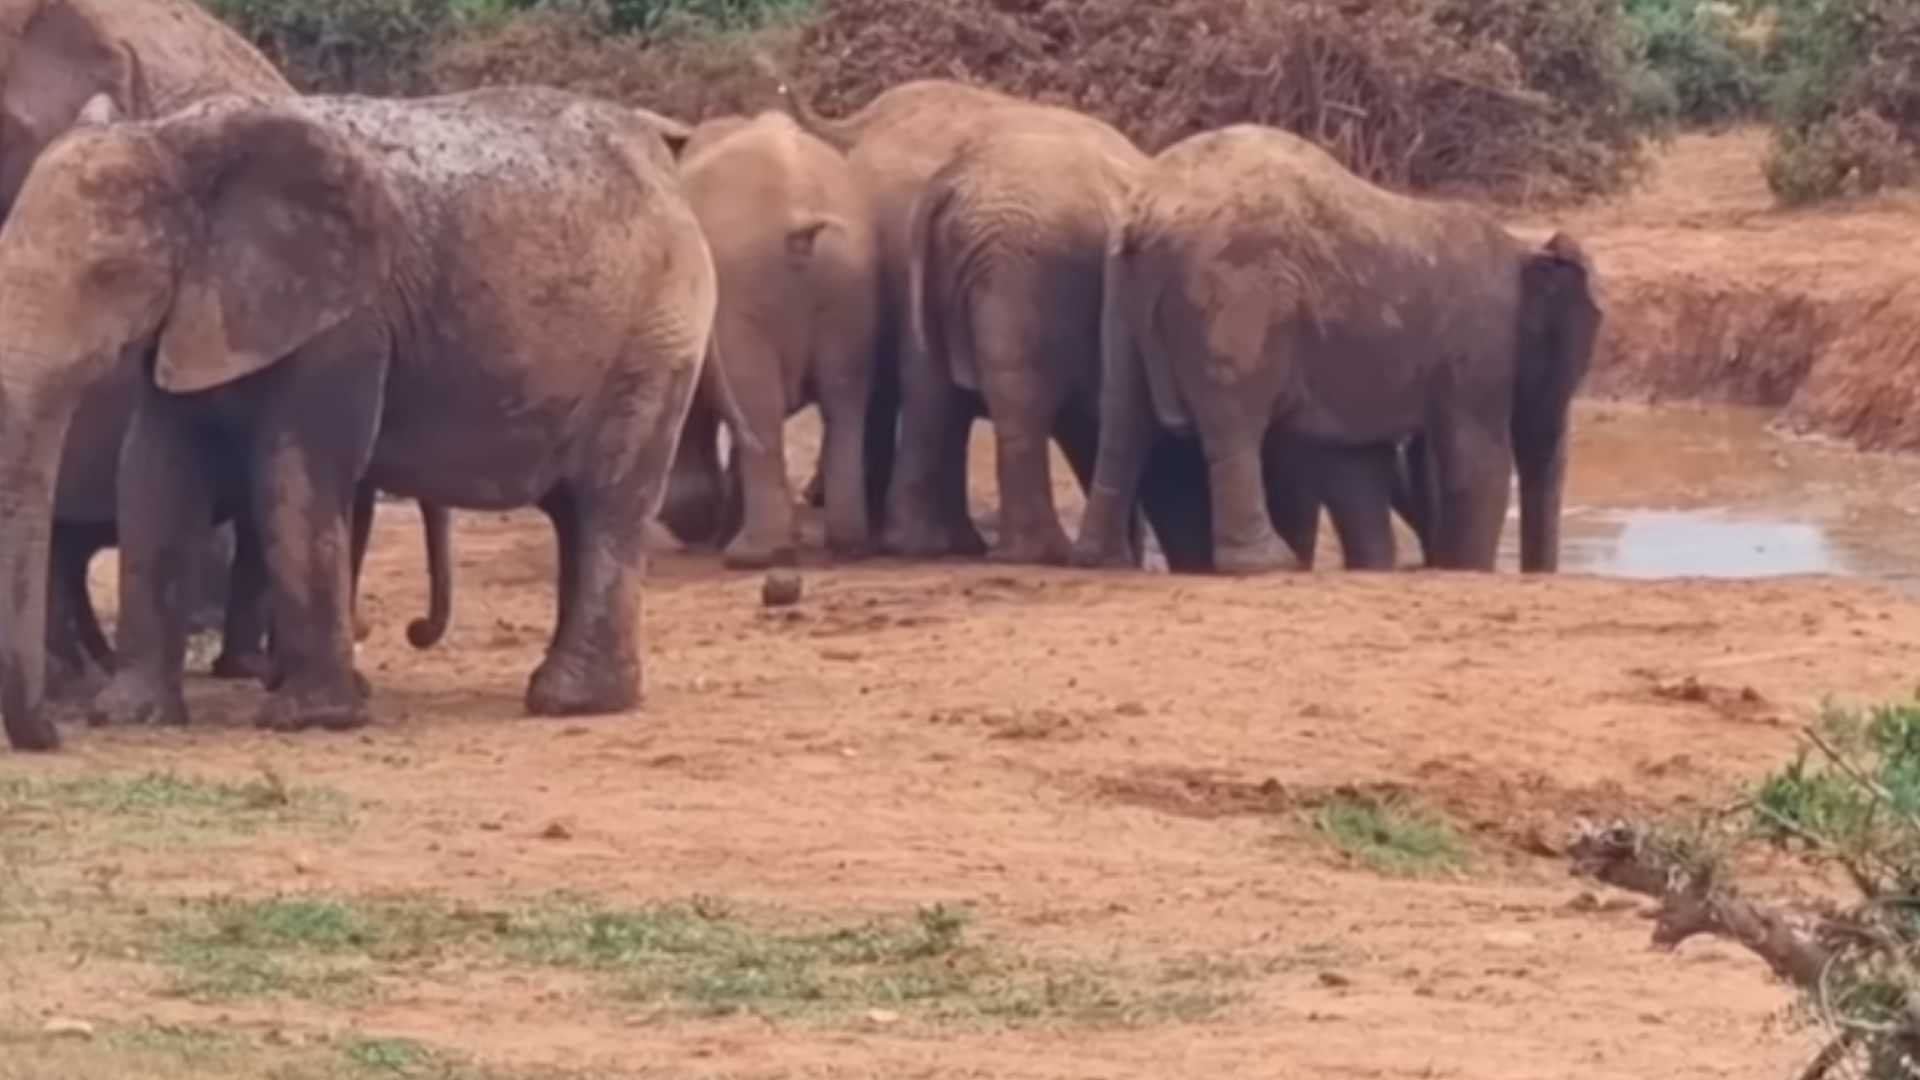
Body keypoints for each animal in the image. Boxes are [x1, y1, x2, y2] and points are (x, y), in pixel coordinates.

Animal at [0, 84, 735, 751]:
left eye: (107, 276)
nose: (53, 736)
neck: (174, 140)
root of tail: (666, 169)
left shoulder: (347, 321)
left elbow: (295, 471)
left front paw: (306, 720)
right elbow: (154, 473)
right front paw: (130, 716)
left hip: (658, 332)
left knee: (608, 499)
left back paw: (571, 702)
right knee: (574, 513)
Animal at [659, 109, 881, 568]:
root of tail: (799, 217)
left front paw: (699, 526)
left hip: (748, 283)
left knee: (758, 405)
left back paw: (752, 555)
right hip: (851, 278)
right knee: (844, 398)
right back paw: (849, 545)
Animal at [1072, 124, 1602, 576]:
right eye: (1567, 355)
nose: (1537, 573)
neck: (1524, 249)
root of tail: (1146, 213)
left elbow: (1355, 459)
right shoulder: (1480, 341)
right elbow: (1478, 461)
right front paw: (1466, 571)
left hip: (1121, 290)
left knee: (1123, 414)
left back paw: (1103, 560)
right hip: (1239, 296)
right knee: (1235, 421)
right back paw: (1268, 565)